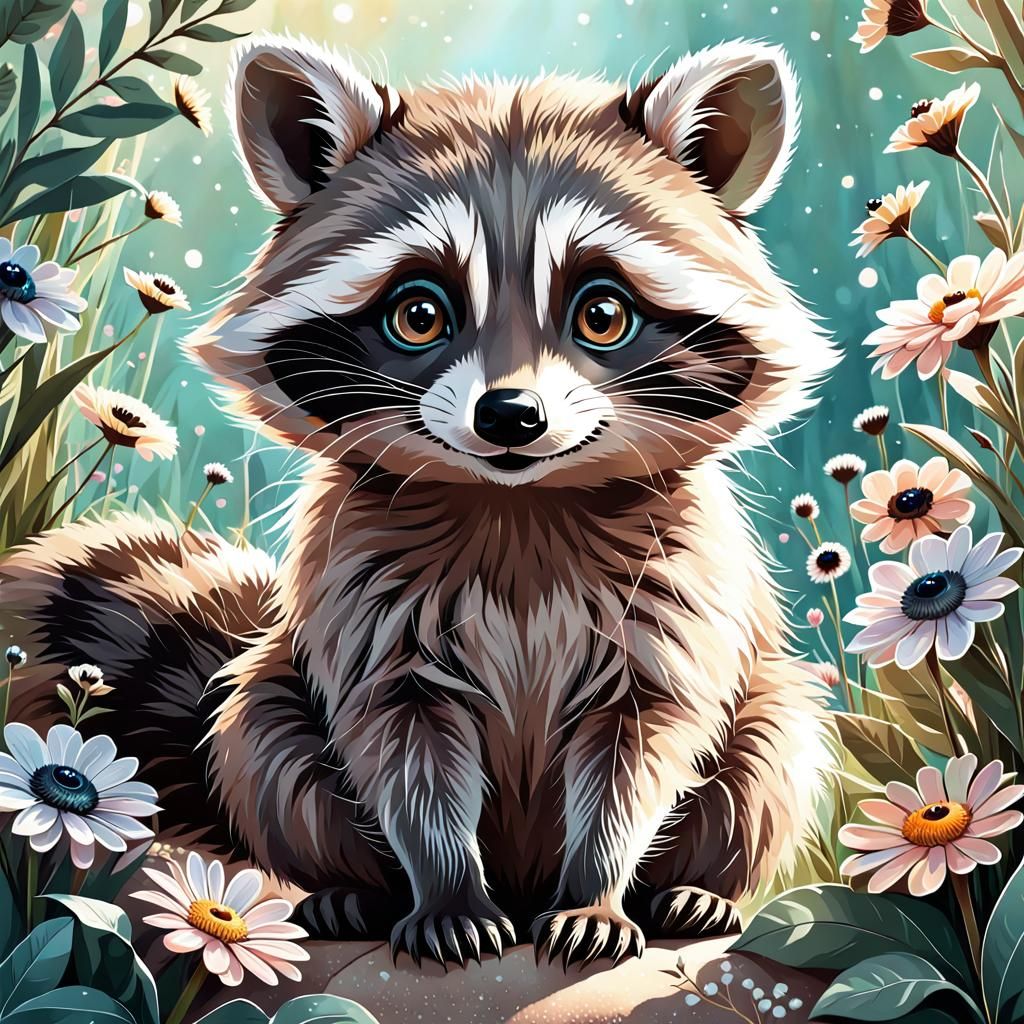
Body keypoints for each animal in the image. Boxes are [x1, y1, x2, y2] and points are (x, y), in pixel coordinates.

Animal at [0, 36, 838, 967]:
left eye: (603, 313)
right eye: (419, 314)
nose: (510, 416)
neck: (516, 505)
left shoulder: (672, 601)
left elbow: (638, 752)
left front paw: (599, 887)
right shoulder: (367, 604)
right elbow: (407, 755)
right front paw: (445, 890)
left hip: (766, 703)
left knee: (770, 748)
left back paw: (694, 887)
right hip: (271, 702)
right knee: (265, 734)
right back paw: (353, 889)